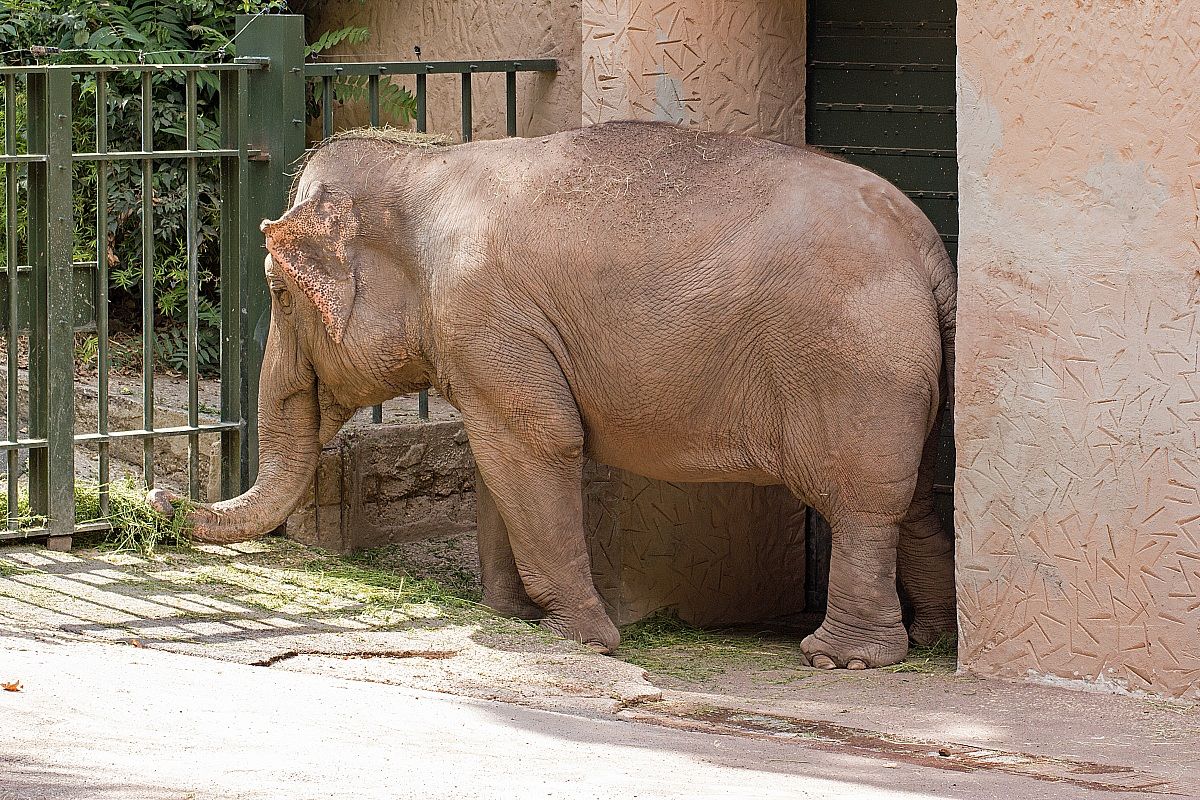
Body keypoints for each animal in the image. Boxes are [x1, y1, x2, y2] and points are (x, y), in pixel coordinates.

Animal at [151, 121, 958, 670]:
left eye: (280, 293)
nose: (159, 497)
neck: (425, 161)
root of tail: (929, 253)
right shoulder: (484, 343)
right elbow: (494, 462)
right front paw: (510, 614)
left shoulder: (486, 316)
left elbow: (538, 444)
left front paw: (583, 639)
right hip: (902, 370)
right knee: (916, 496)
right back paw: (933, 637)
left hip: (855, 366)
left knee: (863, 500)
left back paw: (843, 656)